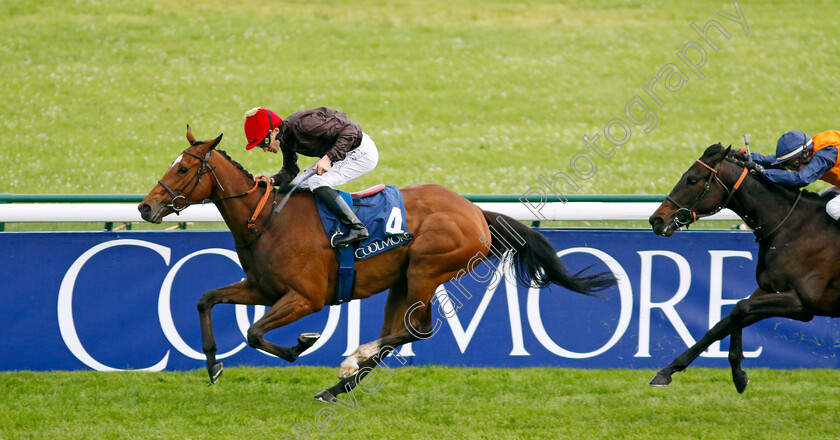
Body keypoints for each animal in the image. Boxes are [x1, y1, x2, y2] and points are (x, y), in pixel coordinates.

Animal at [138, 125, 616, 400]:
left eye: (184, 169)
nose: (146, 207)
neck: (267, 220)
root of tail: (476, 213)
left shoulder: (306, 298)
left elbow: (255, 333)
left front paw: (301, 344)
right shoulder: (263, 288)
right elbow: (206, 299)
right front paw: (214, 365)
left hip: (426, 269)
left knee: (415, 329)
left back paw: (352, 361)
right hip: (401, 281)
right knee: (396, 334)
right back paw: (337, 387)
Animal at [648, 144, 840, 392]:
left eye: (692, 180)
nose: (656, 220)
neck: (793, 227)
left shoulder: (802, 302)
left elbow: (740, 308)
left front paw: (739, 374)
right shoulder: (770, 291)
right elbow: (722, 324)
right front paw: (667, 371)